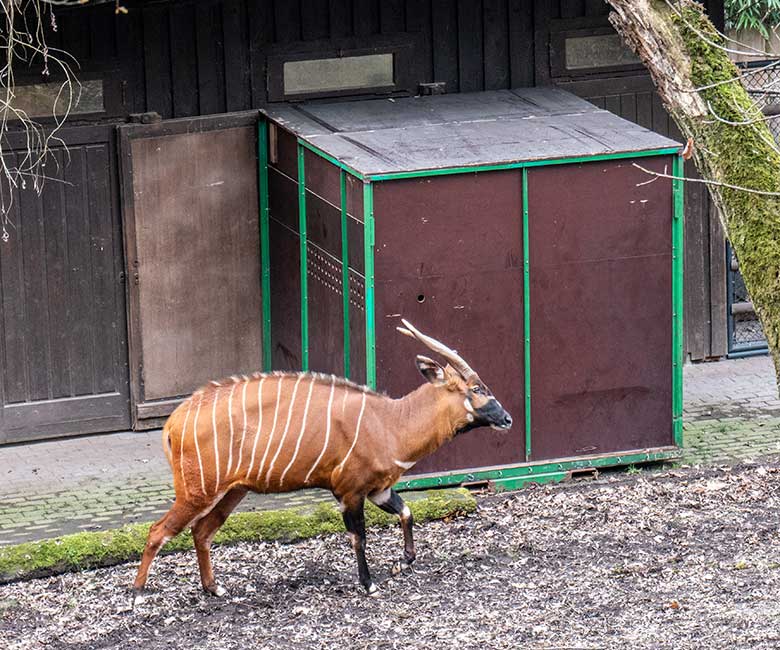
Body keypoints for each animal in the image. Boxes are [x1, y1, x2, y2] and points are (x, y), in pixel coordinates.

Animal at [133, 318, 512, 604]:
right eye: (477, 389)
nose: (507, 419)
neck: (391, 423)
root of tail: (174, 421)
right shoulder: (349, 492)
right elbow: (359, 537)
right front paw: (369, 584)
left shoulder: (379, 490)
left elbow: (407, 513)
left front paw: (402, 563)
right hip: (197, 490)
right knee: (158, 531)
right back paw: (138, 594)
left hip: (232, 491)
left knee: (201, 531)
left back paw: (214, 589)